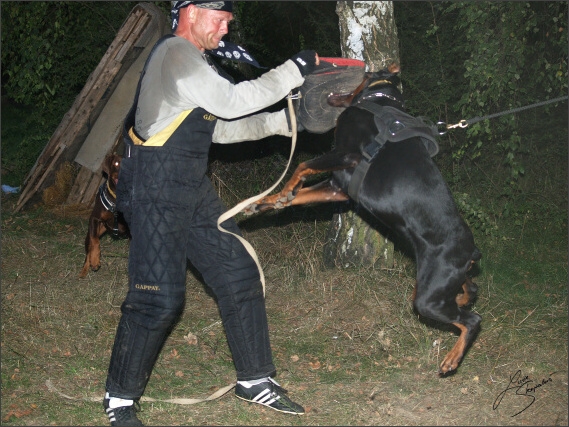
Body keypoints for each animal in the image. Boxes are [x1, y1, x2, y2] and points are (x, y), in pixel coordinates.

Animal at [244, 62, 480, 374]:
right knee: (472, 288)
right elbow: (300, 192)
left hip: (428, 297)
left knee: (473, 320)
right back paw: (464, 300)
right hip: (440, 282)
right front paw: (267, 202)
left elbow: (303, 165)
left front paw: (285, 191)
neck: (379, 99)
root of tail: (471, 250)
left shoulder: (346, 154)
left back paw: (452, 358)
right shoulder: (337, 189)